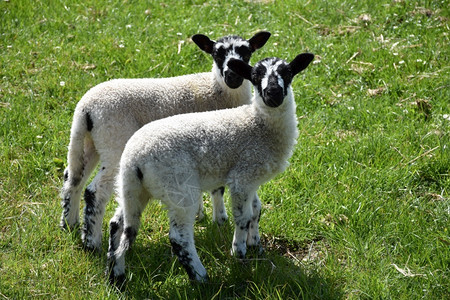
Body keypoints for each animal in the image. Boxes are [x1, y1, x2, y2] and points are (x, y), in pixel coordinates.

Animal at [59, 31, 270, 251]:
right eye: (216, 54)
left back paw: (70, 224)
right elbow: (217, 189)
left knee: (72, 179)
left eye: (246, 52)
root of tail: (85, 108)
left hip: (88, 142)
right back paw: (92, 242)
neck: (216, 90)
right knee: (94, 191)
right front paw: (219, 219)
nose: (232, 76)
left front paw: (202, 214)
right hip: (114, 142)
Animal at [107, 52, 314, 284]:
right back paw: (200, 277)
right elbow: (243, 217)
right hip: (178, 186)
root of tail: (134, 158)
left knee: (120, 224)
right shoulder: (242, 176)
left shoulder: (252, 177)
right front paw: (239, 254)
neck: (258, 125)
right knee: (179, 238)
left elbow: (256, 210)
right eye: (255, 76)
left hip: (132, 188)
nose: (273, 93)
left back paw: (116, 274)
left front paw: (256, 245)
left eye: (287, 73)